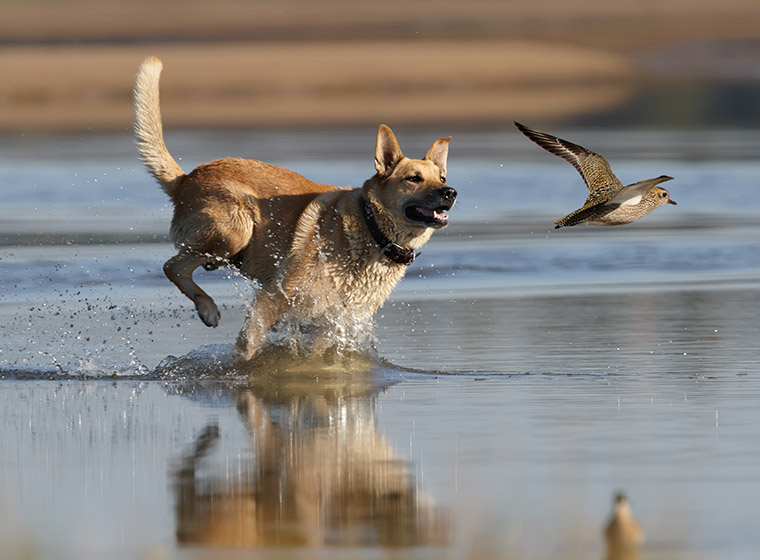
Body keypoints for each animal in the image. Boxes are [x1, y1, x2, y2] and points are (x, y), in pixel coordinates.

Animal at [132, 58, 458, 364]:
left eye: (442, 178)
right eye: (413, 178)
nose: (451, 193)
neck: (372, 230)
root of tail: (186, 178)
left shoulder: (332, 322)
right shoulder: (275, 297)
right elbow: (247, 347)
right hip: (236, 230)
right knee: (172, 266)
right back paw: (207, 307)